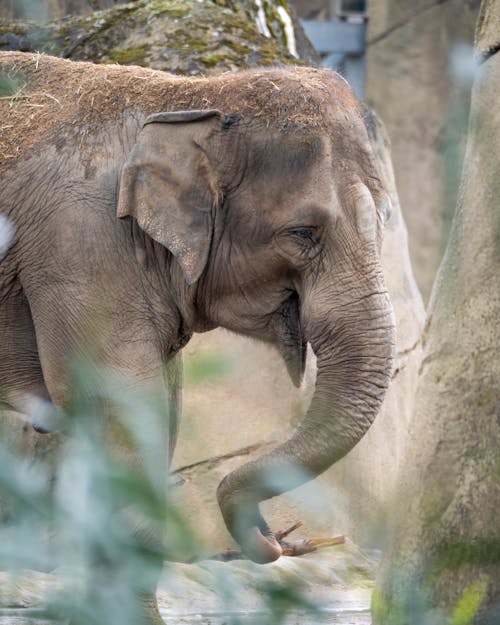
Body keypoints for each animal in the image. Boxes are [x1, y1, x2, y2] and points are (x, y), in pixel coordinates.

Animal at [0, 52, 394, 620]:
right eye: (304, 233)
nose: (274, 538)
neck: (193, 97)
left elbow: (163, 407)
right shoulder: (77, 251)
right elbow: (117, 406)